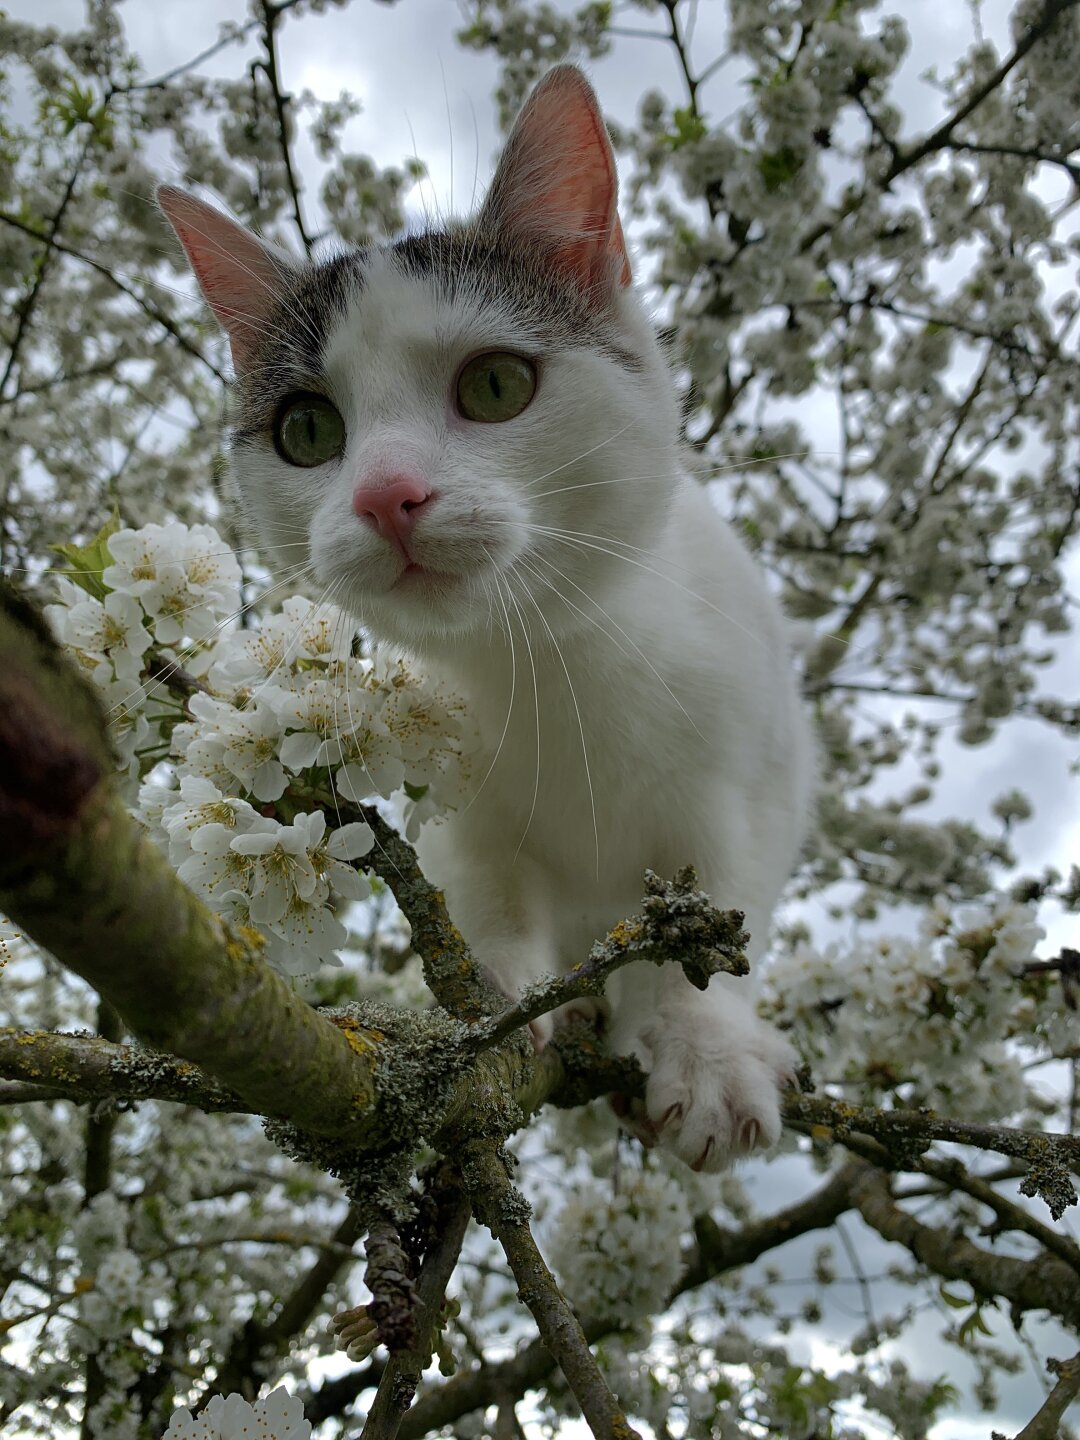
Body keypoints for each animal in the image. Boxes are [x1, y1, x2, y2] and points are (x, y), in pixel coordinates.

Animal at [160, 64, 817, 1169]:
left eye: (498, 384)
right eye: (307, 431)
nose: (386, 495)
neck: (552, 660)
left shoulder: (754, 777)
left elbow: (715, 906)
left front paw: (706, 1047)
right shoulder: (465, 817)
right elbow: (492, 901)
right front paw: (502, 1001)